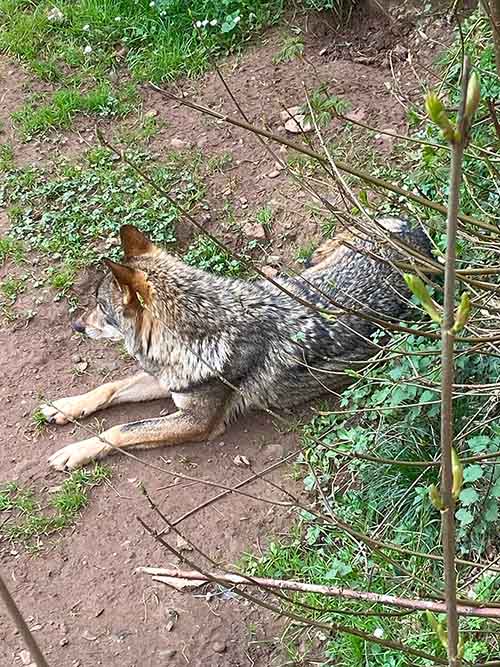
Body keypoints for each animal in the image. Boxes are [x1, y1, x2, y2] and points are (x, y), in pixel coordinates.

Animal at [41, 220, 430, 471]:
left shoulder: (196, 422)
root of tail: (414, 229)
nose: (77, 326)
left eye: (100, 308)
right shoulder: (170, 381)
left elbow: (120, 429)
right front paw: (65, 407)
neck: (200, 332)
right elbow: (108, 388)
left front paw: (75, 451)